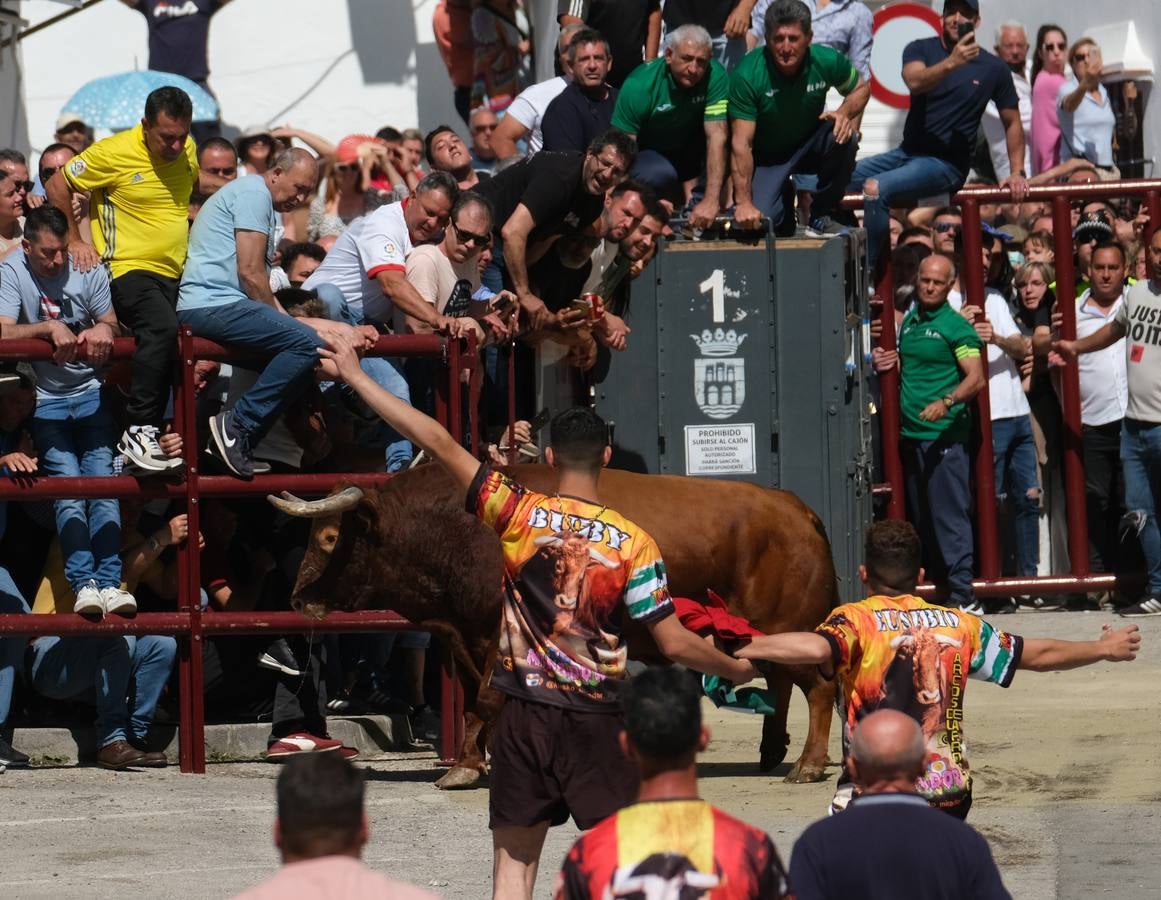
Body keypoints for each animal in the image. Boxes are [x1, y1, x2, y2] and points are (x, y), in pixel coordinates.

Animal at [268, 464, 840, 789]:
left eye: (329, 538)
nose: (296, 598)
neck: (453, 530)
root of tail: (796, 509)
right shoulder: (463, 636)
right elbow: (478, 701)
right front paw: (475, 760)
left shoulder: (494, 634)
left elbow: (485, 700)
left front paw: (468, 766)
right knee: (783, 680)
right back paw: (772, 752)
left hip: (789, 625)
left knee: (818, 688)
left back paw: (807, 765)